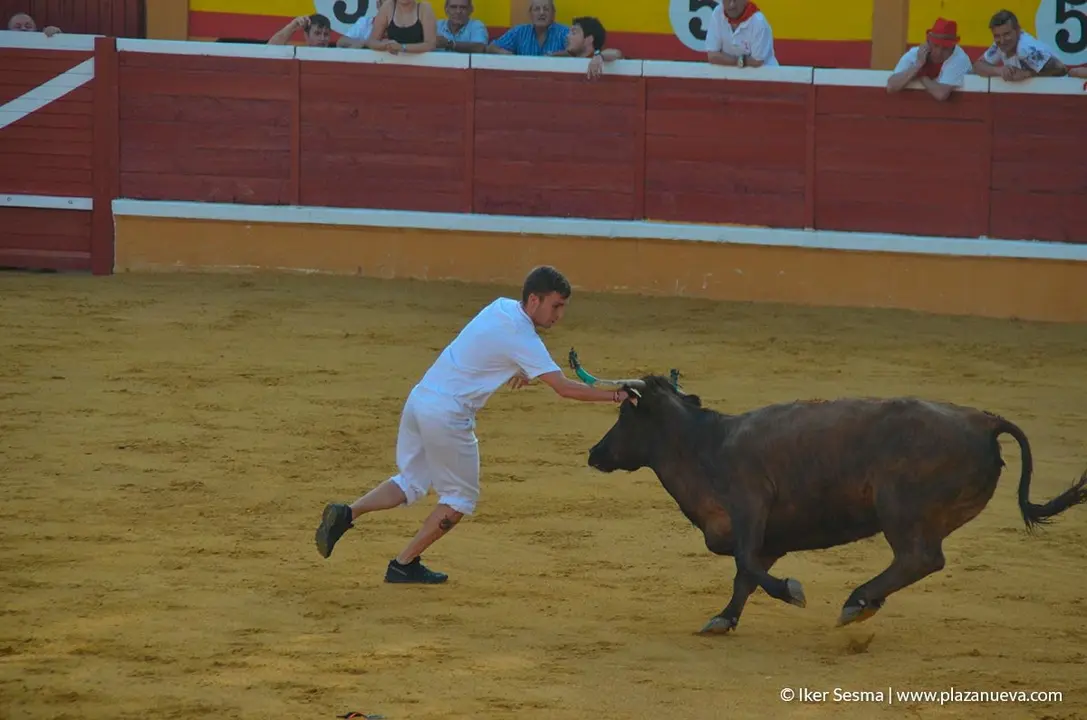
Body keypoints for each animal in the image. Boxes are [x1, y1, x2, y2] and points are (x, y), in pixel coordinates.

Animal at [571, 353, 1087, 635]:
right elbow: (745, 576)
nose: (595, 453)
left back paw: (858, 601)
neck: (706, 445)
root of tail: (983, 420)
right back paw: (864, 603)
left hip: (899, 508)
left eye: (624, 416)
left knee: (920, 557)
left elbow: (746, 564)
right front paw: (723, 619)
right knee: (919, 560)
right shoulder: (771, 536)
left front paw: (792, 592)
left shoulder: (750, 507)